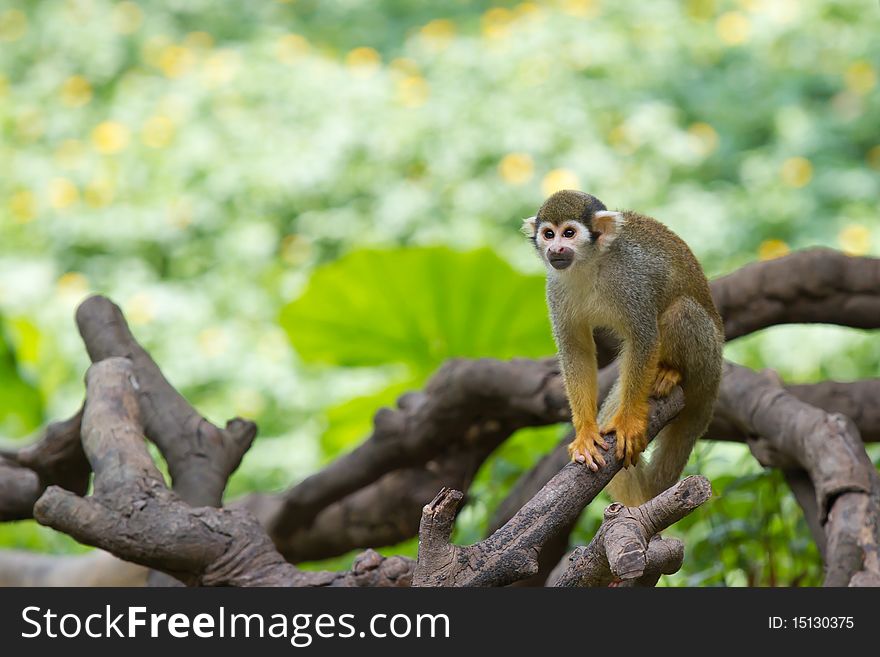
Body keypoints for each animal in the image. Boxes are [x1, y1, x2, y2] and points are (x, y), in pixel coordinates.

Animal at [524, 190, 720, 508]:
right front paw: (585, 433)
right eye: (548, 234)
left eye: (569, 233)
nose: (555, 248)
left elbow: (643, 338)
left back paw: (670, 372)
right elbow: (575, 350)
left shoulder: (632, 281)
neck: (590, 264)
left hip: (709, 357)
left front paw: (628, 423)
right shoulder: (554, 288)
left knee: (682, 310)